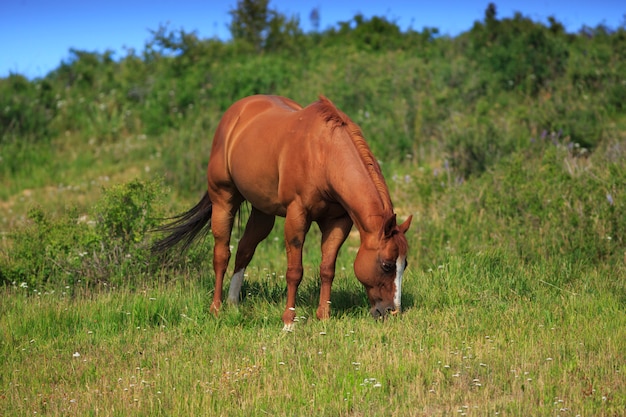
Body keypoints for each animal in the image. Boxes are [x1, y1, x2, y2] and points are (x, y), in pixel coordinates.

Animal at [152, 94, 410, 328]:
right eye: (387, 265)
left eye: (404, 264)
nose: (392, 312)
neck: (323, 154)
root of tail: (236, 112)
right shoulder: (297, 216)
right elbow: (294, 271)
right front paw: (288, 322)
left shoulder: (337, 221)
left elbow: (327, 269)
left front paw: (323, 317)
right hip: (223, 199)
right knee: (222, 254)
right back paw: (216, 309)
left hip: (262, 212)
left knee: (244, 250)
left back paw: (234, 304)